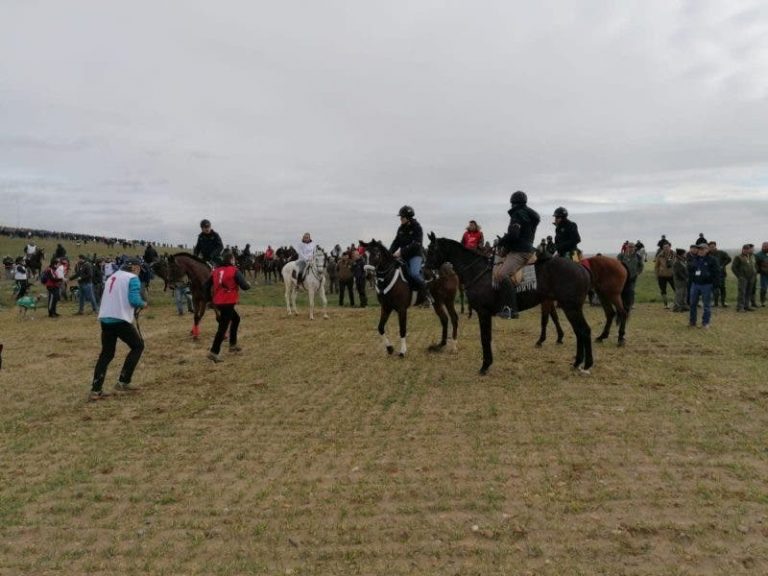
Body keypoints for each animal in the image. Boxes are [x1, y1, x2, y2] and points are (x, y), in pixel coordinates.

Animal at [424, 235, 592, 376]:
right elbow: (487, 337)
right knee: (579, 331)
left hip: (571, 308)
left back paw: (586, 365)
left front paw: (485, 366)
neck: (478, 271)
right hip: (572, 308)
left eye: (431, 250)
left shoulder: (483, 313)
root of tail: (580, 268)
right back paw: (577, 362)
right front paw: (487, 364)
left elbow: (485, 338)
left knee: (584, 331)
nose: (424, 271)